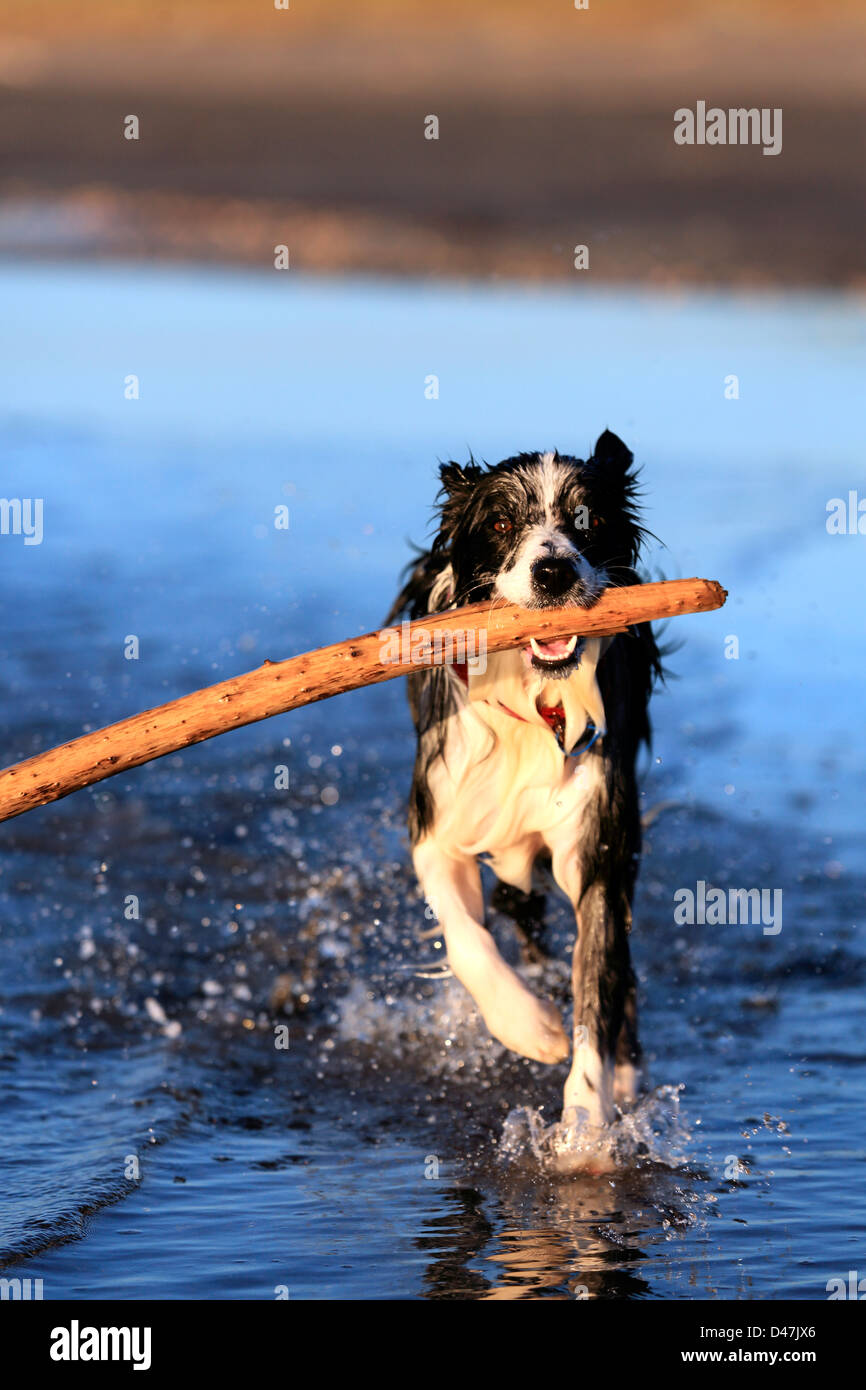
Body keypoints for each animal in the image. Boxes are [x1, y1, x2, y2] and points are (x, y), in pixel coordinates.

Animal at [389, 430, 664, 1128]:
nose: (554, 572)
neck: (534, 703)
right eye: (500, 523)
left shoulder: (596, 838)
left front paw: (587, 1127)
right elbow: (465, 936)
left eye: (588, 519)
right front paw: (530, 1026)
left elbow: (598, 982)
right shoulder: (441, 817)